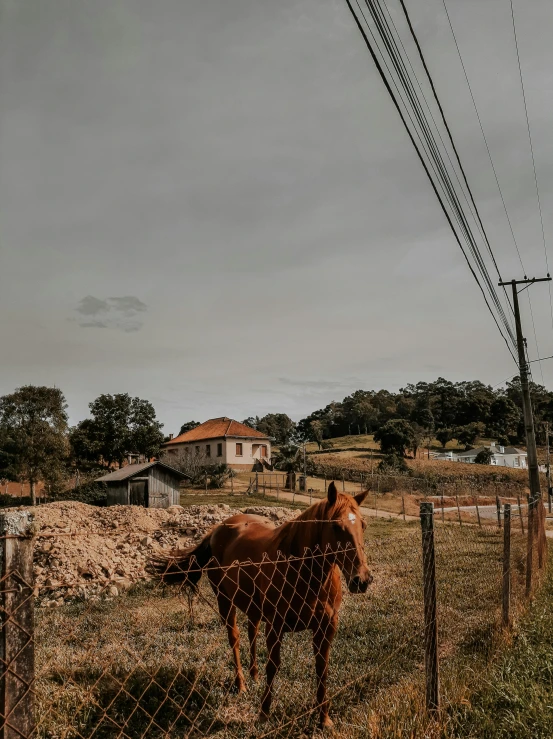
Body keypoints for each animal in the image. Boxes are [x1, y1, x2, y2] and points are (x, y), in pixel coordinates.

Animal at [153, 480, 370, 728]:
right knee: (235, 639)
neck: (302, 571)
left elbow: (321, 667)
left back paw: (254, 675)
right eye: (335, 526)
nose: (362, 579)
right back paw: (242, 684)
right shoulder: (275, 626)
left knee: (251, 632)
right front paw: (264, 712)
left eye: (363, 525)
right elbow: (273, 665)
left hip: (253, 608)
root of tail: (217, 530)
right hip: (225, 602)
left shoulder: (326, 627)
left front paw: (324, 718)